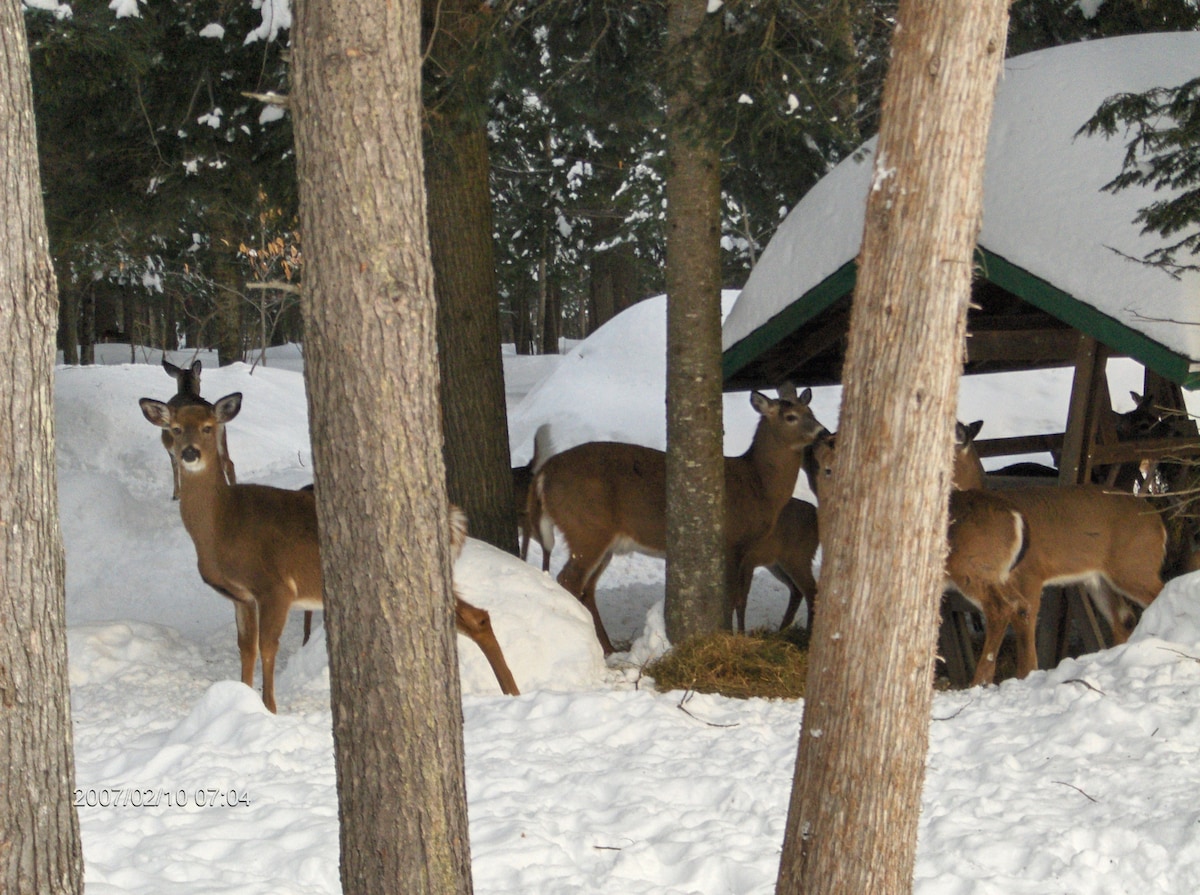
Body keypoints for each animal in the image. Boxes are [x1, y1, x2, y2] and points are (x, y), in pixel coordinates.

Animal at [138, 391, 518, 710]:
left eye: (208, 427)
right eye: (175, 429)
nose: (189, 453)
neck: (223, 525)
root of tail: (453, 520)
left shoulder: (275, 586)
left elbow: (267, 647)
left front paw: (269, 707)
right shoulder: (241, 596)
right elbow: (245, 648)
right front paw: (242, 698)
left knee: (474, 617)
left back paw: (511, 692)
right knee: (476, 617)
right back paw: (511, 692)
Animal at [530, 386, 830, 657]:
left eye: (811, 412)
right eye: (790, 416)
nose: (823, 432)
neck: (757, 484)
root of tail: (544, 473)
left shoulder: (746, 551)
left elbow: (738, 597)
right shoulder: (732, 541)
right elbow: (733, 597)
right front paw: (731, 638)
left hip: (601, 540)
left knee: (586, 588)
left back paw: (609, 648)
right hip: (586, 527)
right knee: (569, 579)